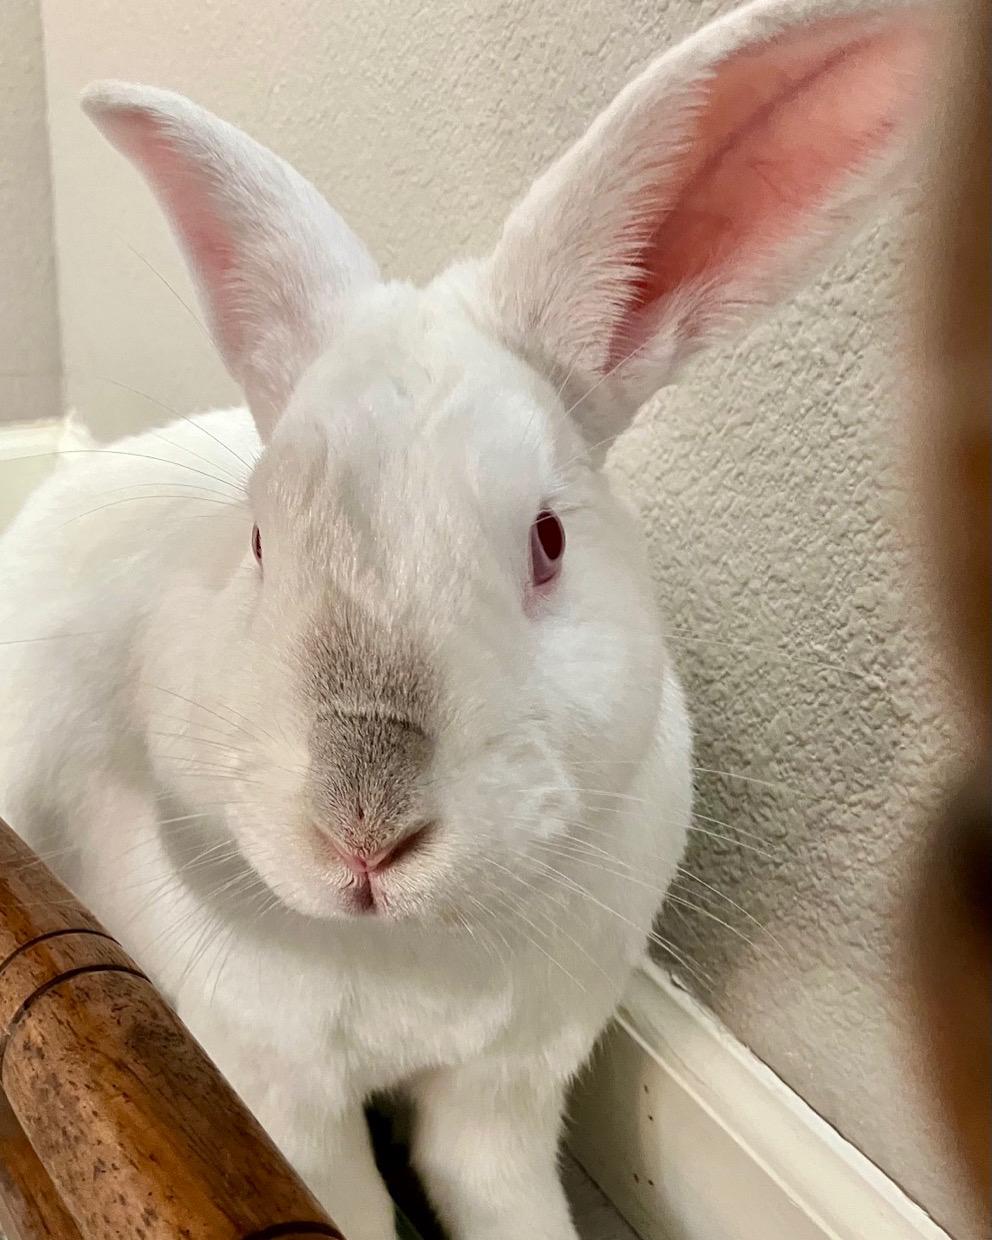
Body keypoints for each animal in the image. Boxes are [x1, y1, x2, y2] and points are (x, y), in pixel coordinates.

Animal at [0, 1, 929, 1237]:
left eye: (548, 539)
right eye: (260, 539)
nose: (363, 833)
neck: (415, 953)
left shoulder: (511, 1086)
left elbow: (503, 1196)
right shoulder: (278, 1092)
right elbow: (347, 1201)